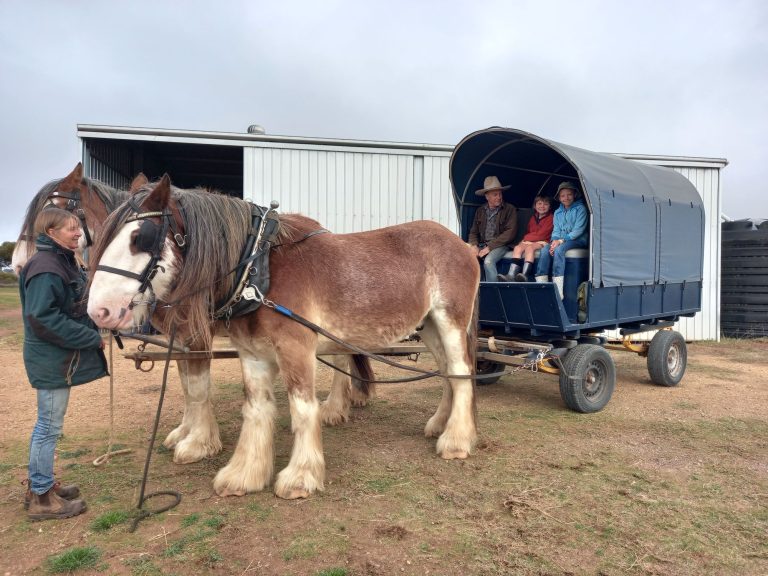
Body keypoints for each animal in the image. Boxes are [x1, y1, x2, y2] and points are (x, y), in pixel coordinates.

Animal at [85, 176, 480, 500]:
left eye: (140, 238)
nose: (98, 311)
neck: (258, 270)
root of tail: (464, 246)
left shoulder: (295, 349)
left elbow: (303, 409)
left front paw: (300, 476)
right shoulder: (252, 353)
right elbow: (256, 409)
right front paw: (245, 473)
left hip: (450, 320)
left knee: (461, 372)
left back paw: (456, 440)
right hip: (428, 326)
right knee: (448, 372)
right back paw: (440, 425)